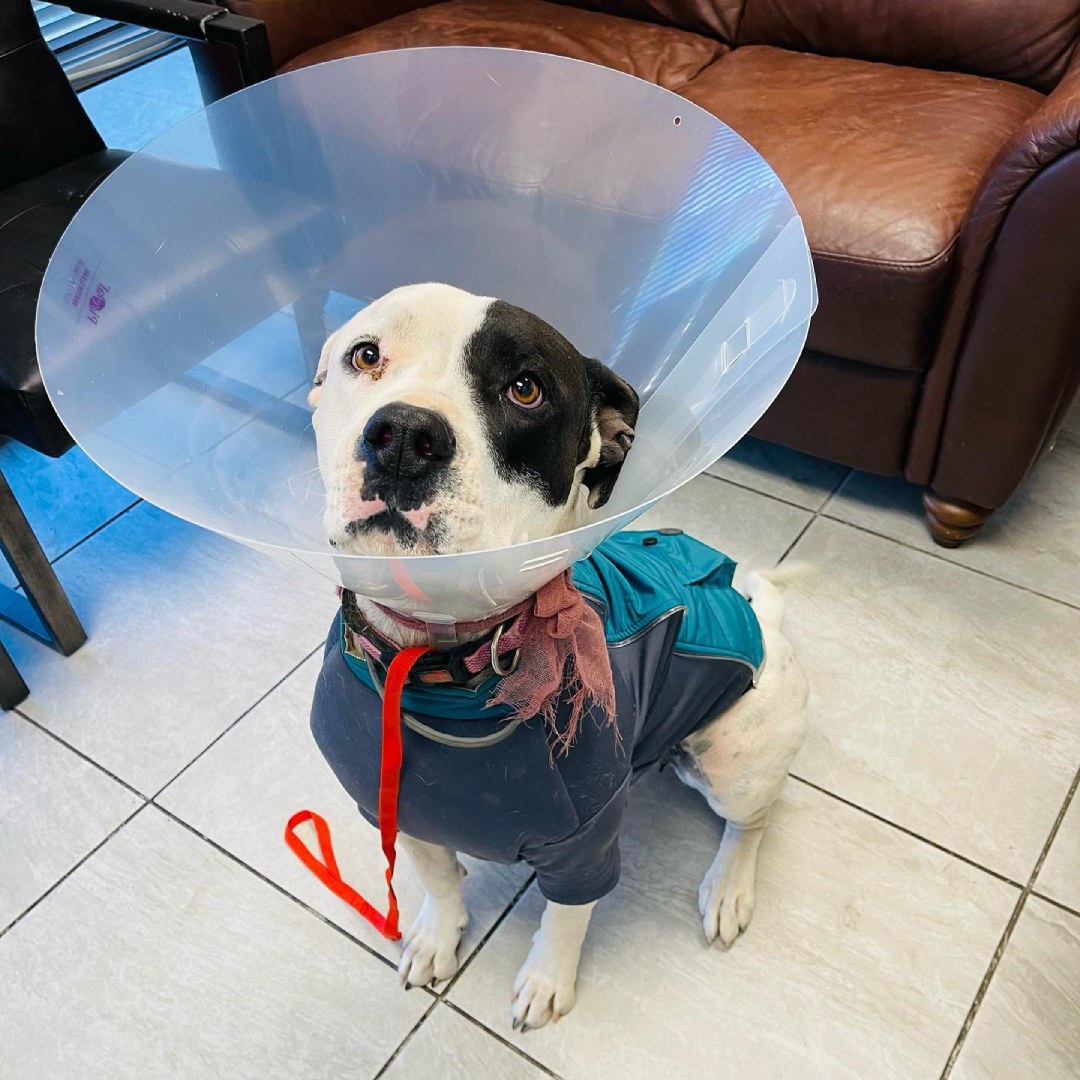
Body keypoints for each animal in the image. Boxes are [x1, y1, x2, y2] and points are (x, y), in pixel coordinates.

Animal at [308, 285, 807, 1028]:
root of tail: (756, 611)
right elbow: (435, 876)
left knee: (753, 820)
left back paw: (728, 888)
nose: (402, 433)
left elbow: (566, 917)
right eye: (366, 355)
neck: (434, 667)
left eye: (526, 388)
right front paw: (436, 933)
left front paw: (547, 981)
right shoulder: (396, 808)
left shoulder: (584, 845)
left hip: (735, 759)